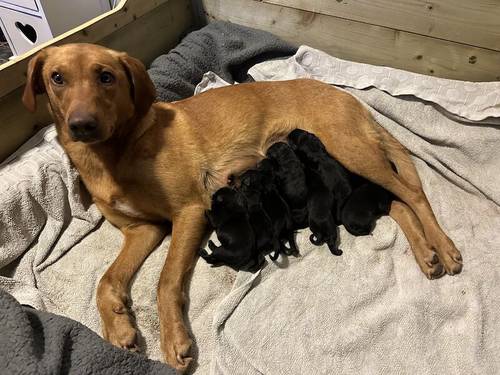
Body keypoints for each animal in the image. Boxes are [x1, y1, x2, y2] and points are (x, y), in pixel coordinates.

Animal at [22, 44, 460, 374]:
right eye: (57, 78)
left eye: (106, 77)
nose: (82, 125)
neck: (114, 152)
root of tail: (347, 96)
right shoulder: (142, 230)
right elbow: (106, 280)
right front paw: (117, 325)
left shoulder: (188, 213)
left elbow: (165, 281)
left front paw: (175, 339)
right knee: (397, 203)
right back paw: (426, 254)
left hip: (350, 150)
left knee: (413, 194)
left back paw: (445, 248)